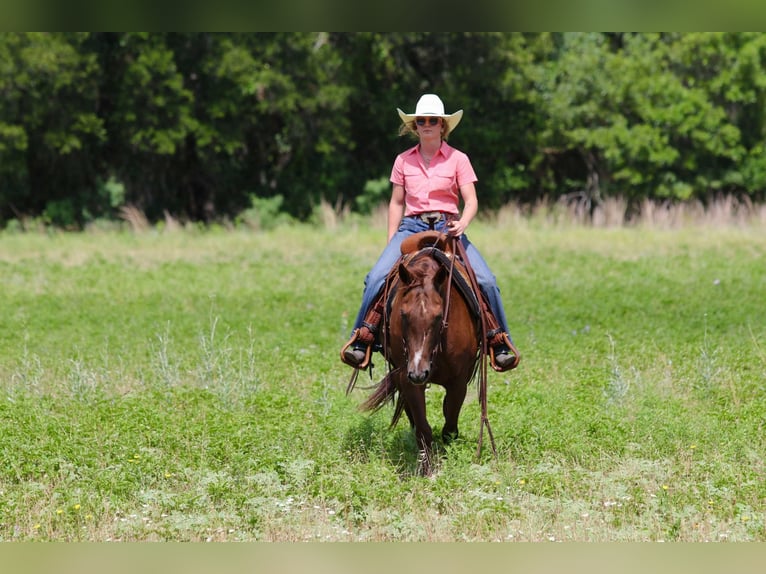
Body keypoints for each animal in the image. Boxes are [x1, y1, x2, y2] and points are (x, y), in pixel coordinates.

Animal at [351, 231, 484, 475]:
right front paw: (426, 469)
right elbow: (423, 426)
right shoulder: (406, 376)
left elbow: (450, 423)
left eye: (439, 316)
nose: (419, 372)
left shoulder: (459, 381)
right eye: (403, 314)